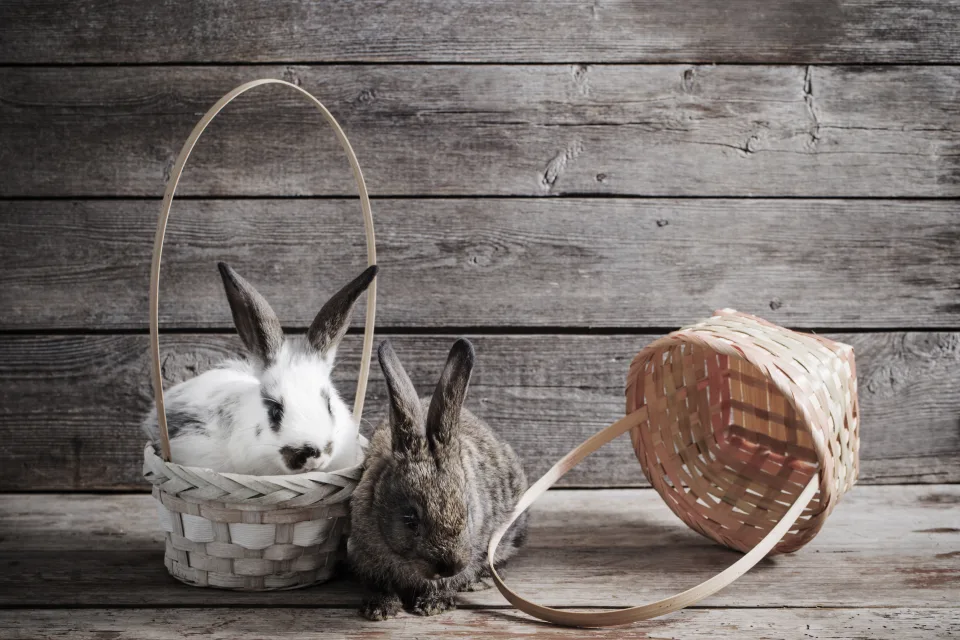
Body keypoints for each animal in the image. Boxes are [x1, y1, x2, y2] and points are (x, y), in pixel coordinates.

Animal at [348, 338, 529, 620]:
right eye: (410, 518)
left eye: (467, 512)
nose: (450, 566)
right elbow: (380, 584)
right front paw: (380, 608)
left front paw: (434, 604)